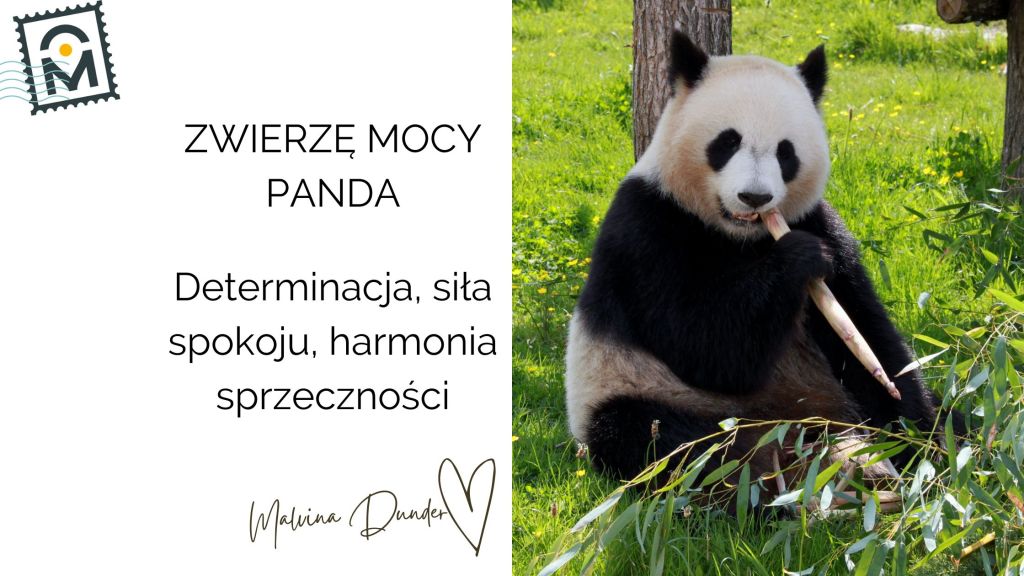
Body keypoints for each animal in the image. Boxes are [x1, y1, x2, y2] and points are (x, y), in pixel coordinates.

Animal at [565, 30, 944, 484]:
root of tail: (793, 426)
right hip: (635, 389)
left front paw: (916, 437)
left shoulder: (820, 222)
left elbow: (866, 334)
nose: (755, 197)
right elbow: (704, 345)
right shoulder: (648, 228)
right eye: (728, 142)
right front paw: (799, 258)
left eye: (786, 152)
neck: (742, 236)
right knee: (662, 441)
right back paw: (767, 479)